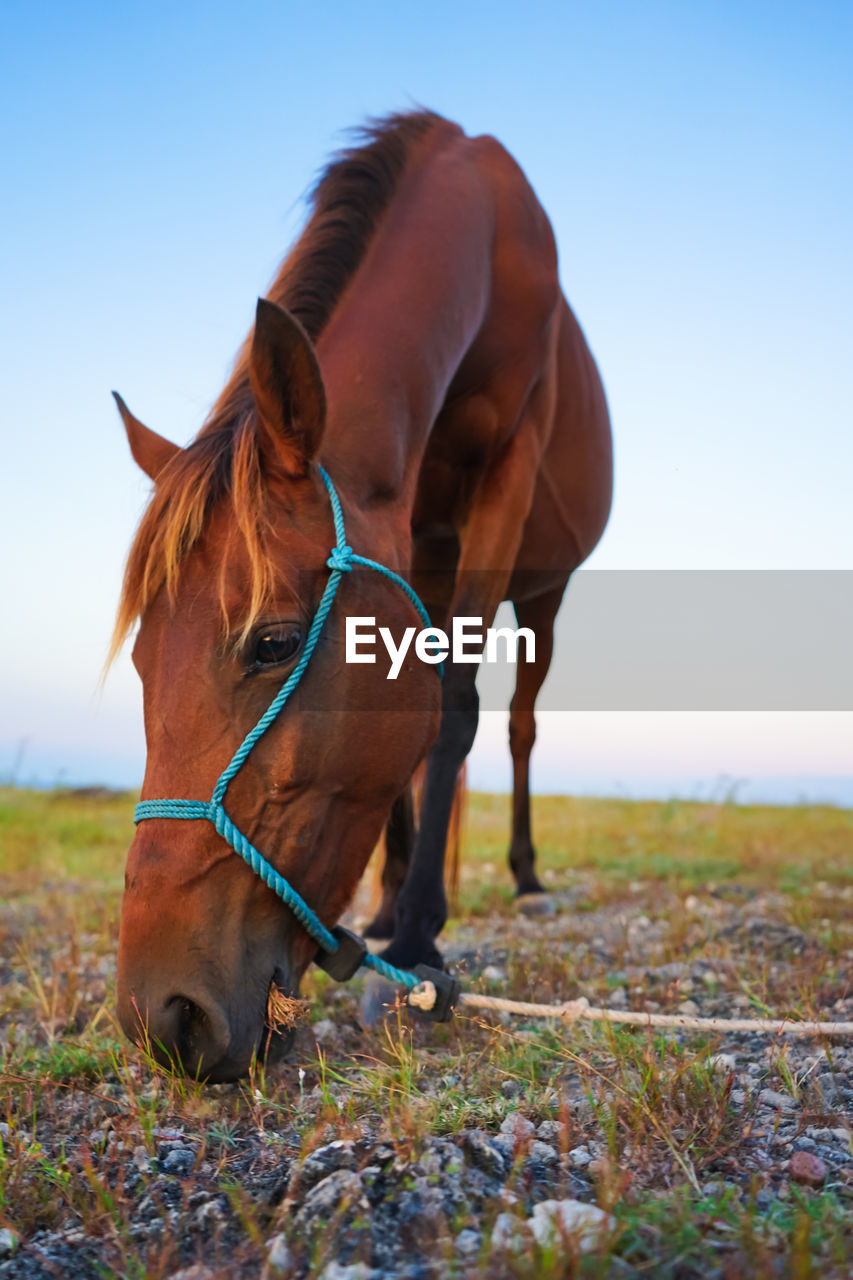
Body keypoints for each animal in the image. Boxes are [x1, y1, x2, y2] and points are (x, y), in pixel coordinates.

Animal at [112, 110, 612, 1080]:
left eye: (271, 643)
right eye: (144, 660)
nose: (165, 1018)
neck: (486, 245)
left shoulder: (506, 475)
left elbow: (454, 708)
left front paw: (417, 942)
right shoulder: (409, 531)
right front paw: (391, 916)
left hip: (545, 595)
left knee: (519, 725)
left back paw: (523, 878)